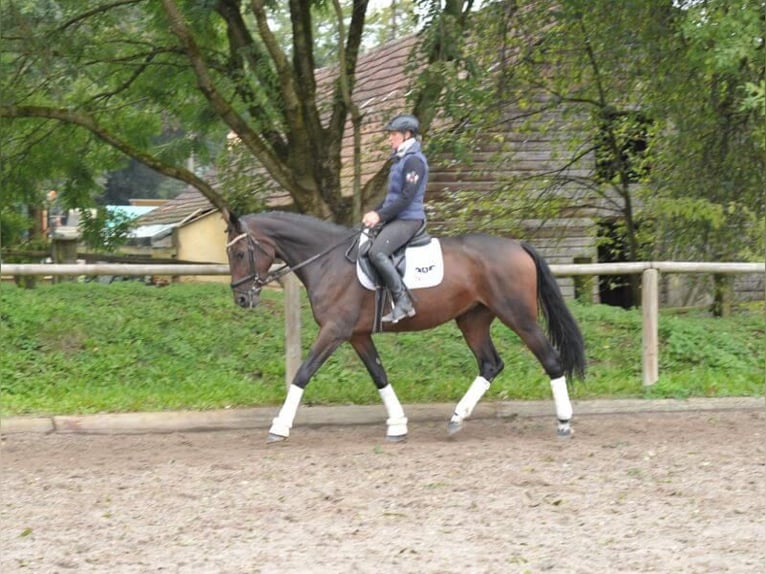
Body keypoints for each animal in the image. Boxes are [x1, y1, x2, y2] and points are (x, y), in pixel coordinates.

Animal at [225, 214, 584, 444]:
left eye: (241, 253)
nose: (241, 298)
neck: (327, 261)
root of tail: (517, 245)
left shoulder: (334, 331)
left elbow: (302, 373)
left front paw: (279, 426)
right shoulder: (357, 335)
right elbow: (379, 375)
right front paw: (397, 425)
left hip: (519, 317)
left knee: (551, 360)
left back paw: (564, 422)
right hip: (473, 319)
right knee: (490, 364)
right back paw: (457, 418)